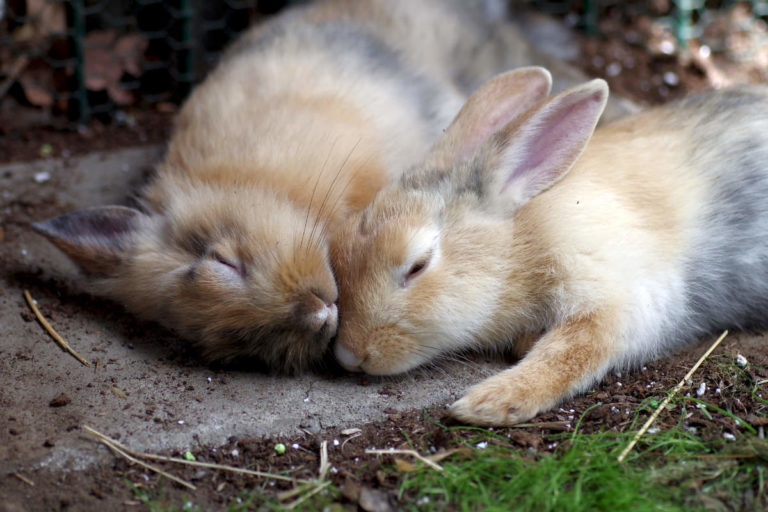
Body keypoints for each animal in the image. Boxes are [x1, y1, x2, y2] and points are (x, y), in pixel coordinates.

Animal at [332, 65, 768, 424]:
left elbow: (570, 353)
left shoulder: (616, 296)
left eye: (418, 264)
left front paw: (489, 404)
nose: (349, 356)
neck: (519, 244)